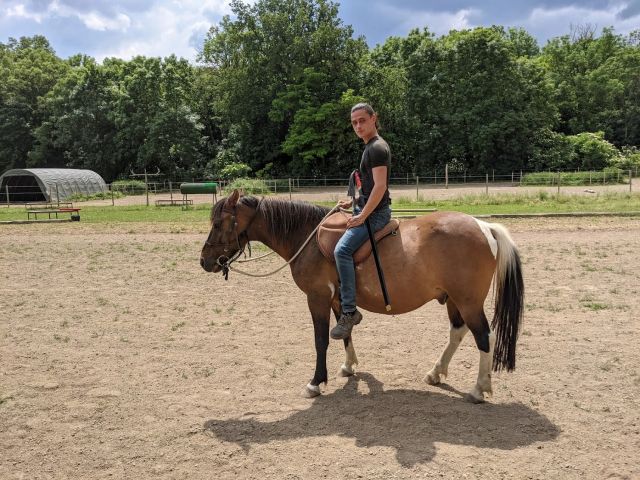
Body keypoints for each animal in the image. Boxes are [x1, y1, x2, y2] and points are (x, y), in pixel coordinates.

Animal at [200, 190, 524, 403]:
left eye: (217, 224)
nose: (204, 261)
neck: (307, 237)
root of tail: (485, 226)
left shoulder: (317, 298)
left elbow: (321, 340)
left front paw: (315, 382)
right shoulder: (337, 300)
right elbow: (344, 332)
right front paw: (348, 366)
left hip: (468, 302)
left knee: (484, 337)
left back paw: (479, 389)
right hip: (454, 300)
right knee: (457, 333)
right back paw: (436, 372)